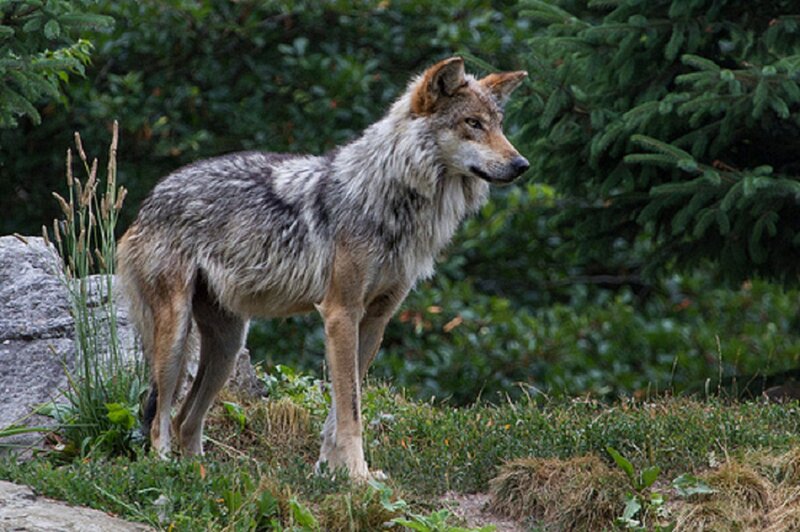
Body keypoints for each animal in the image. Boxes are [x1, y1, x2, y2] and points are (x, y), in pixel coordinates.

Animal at [116, 56, 528, 480]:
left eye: (499, 125)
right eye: (473, 123)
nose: (521, 164)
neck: (391, 201)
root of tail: (150, 199)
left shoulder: (375, 319)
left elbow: (342, 407)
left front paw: (333, 471)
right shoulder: (340, 313)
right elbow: (351, 410)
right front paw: (357, 477)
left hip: (228, 347)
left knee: (185, 418)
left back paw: (200, 473)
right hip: (177, 336)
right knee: (159, 418)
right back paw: (166, 470)